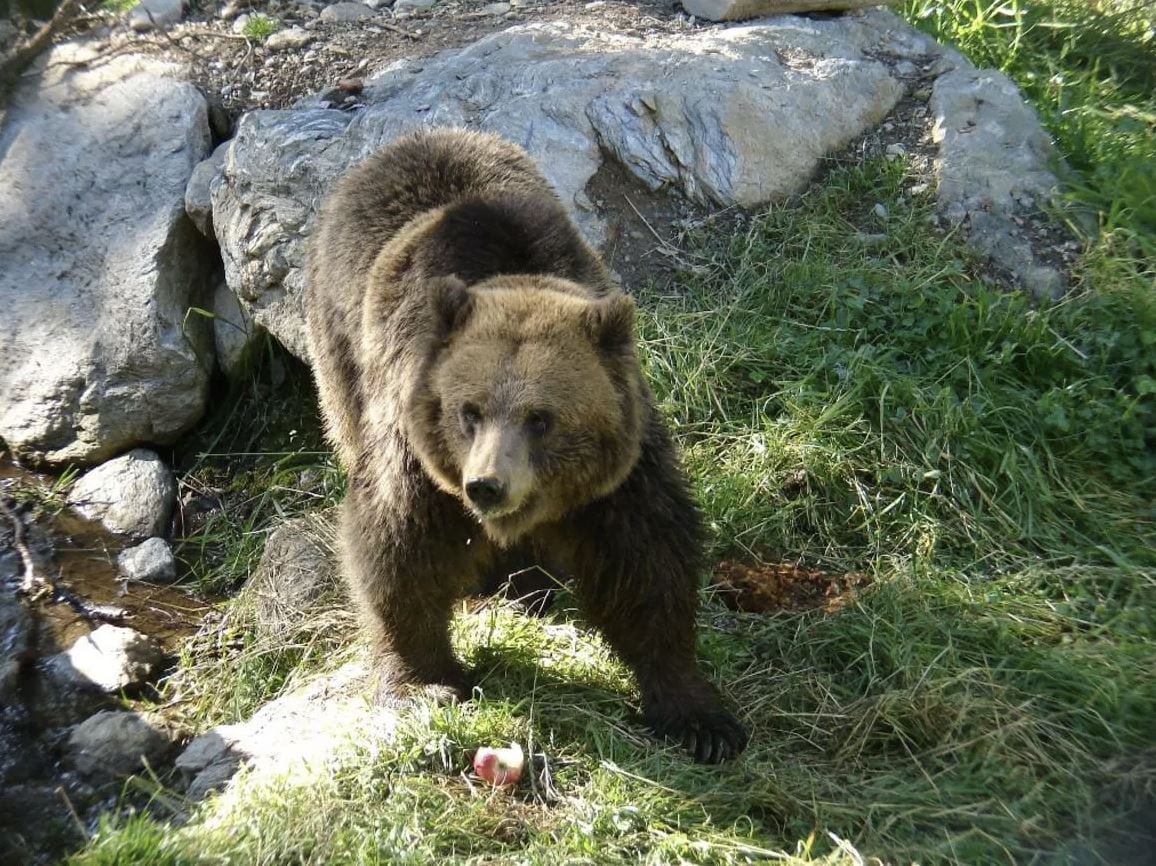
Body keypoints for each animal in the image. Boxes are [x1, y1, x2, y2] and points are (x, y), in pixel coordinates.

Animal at [305, 128, 748, 763]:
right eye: (469, 412)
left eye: (541, 419)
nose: (487, 486)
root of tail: (409, 140)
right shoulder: (416, 449)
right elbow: (398, 547)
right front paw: (424, 684)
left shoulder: (619, 475)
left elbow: (647, 562)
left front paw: (699, 718)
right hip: (339, 345)